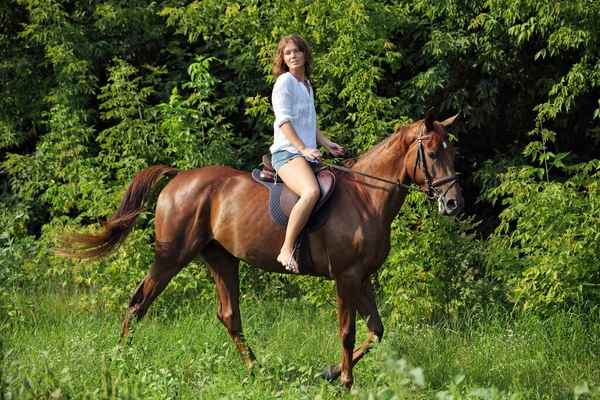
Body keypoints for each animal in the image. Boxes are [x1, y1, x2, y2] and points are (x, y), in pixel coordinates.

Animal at [69, 108, 464, 386]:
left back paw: (256, 370)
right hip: (171, 256)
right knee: (139, 303)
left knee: (229, 315)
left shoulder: (362, 277)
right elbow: (348, 331)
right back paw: (118, 362)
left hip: (221, 258)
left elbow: (376, 330)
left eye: (452, 153)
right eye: (431, 153)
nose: (453, 203)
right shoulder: (346, 277)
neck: (366, 197)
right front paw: (346, 380)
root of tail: (179, 176)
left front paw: (331, 372)